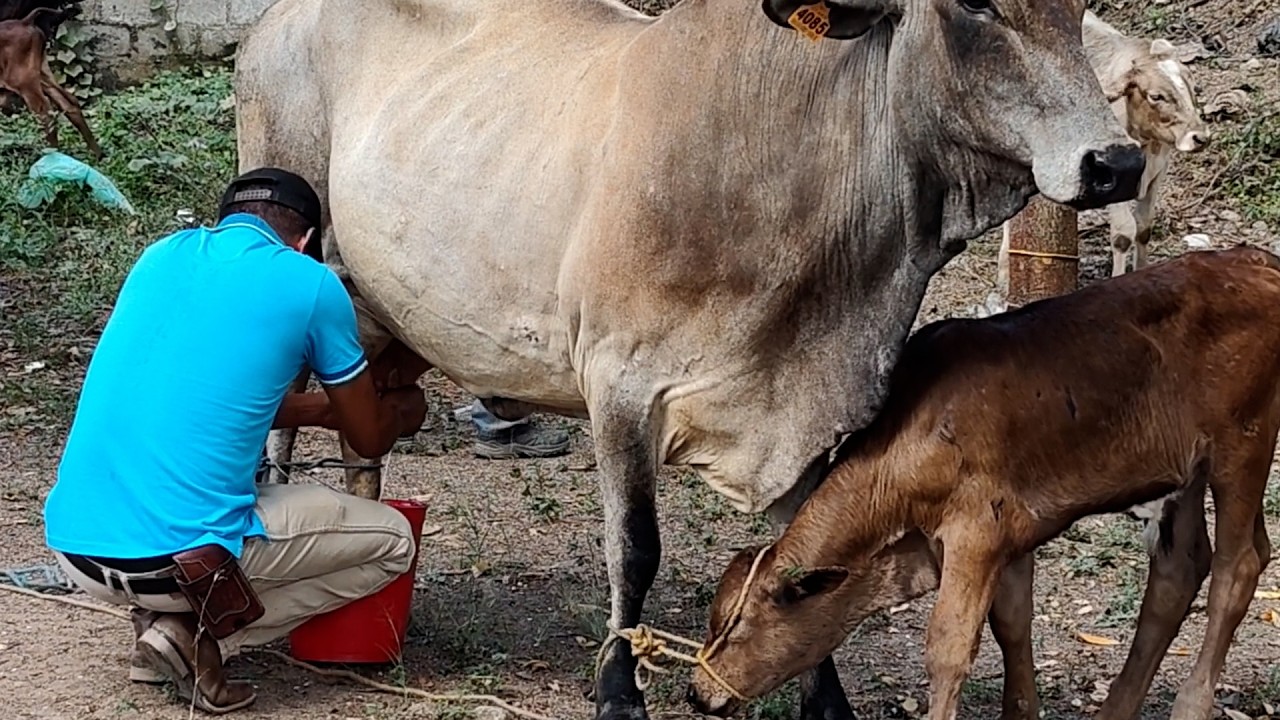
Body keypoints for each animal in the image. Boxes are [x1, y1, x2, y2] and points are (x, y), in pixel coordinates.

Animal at [231, 0, 1143, 717]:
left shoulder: (806, 415)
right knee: (279, 430)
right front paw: (617, 689)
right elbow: (633, 548)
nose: (1117, 161)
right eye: (975, 6)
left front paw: (826, 700)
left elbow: (801, 555)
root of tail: (272, 22)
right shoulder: (620, 384)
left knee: (362, 452)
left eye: (1075, 4)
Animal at [688, 247, 1278, 720]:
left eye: (735, 626)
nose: (698, 693)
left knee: (1238, 567)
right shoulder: (1009, 539)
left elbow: (948, 648)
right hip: (1189, 469)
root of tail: (1255, 259)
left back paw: (1191, 705)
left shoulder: (976, 534)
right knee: (1181, 567)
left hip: (1242, 447)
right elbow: (1011, 625)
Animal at [997, 9, 1211, 292]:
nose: (1200, 137)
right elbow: (1123, 233)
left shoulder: (1158, 171)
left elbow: (1144, 227)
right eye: (1156, 96)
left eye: (1191, 89)